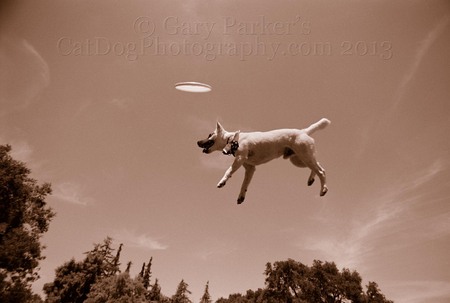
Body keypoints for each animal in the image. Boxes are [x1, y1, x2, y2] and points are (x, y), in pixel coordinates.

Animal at [197, 119, 330, 204]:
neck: (232, 139)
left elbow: (228, 171)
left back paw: (323, 189)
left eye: (209, 134)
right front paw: (241, 196)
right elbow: (244, 184)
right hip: (299, 159)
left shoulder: (239, 159)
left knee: (321, 171)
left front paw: (222, 182)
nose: (197, 142)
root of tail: (304, 131)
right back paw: (311, 179)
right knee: (318, 167)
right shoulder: (250, 168)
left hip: (304, 156)